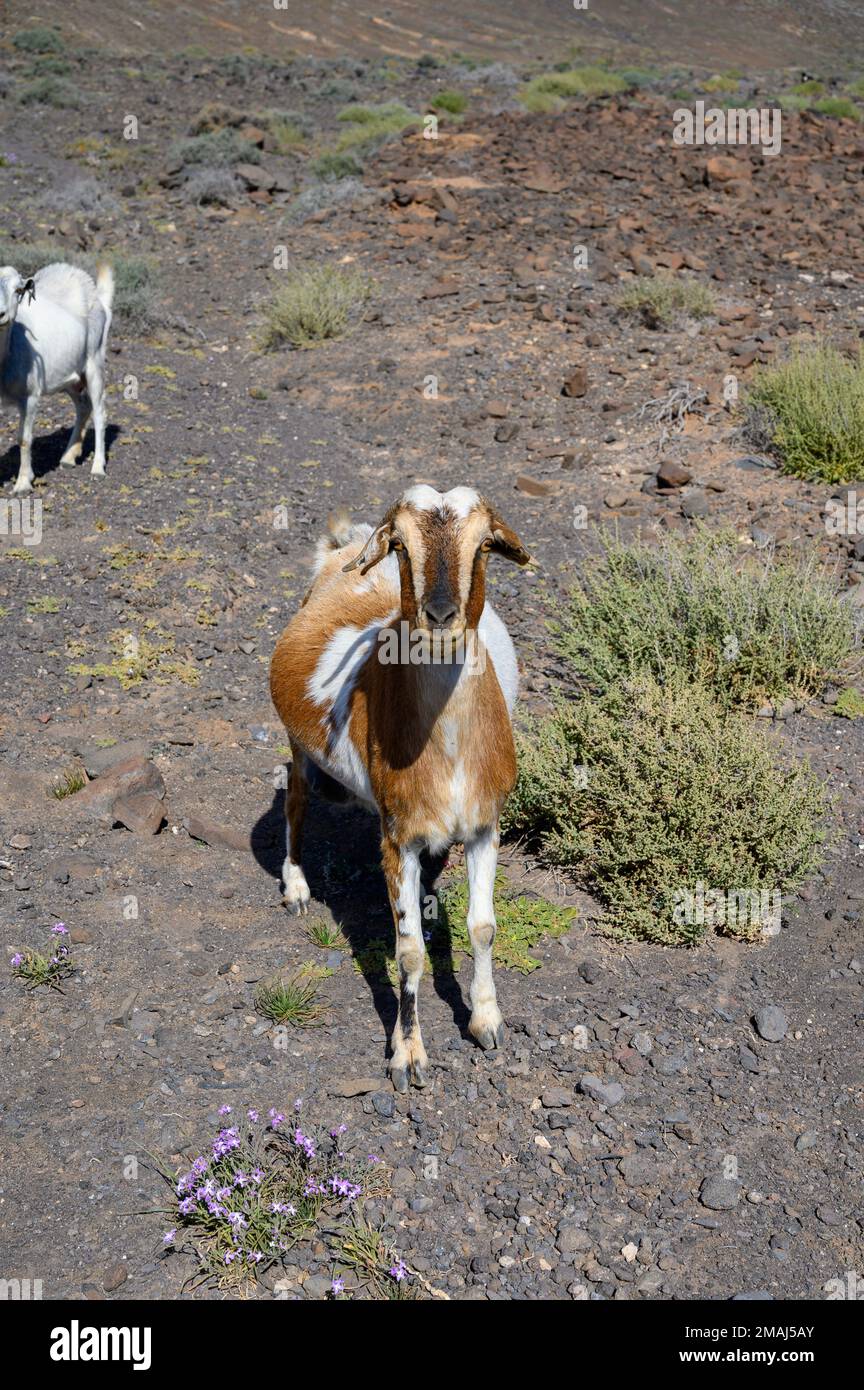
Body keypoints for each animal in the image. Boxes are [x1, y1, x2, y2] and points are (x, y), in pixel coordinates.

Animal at [0, 260, 114, 495]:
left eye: (18, 290)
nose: (1, 315)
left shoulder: (30, 396)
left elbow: (24, 439)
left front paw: (23, 484)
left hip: (94, 361)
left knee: (100, 411)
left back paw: (98, 468)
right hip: (69, 377)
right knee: (83, 405)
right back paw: (69, 457)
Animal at [270, 485, 530, 1090]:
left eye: (484, 544)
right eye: (402, 545)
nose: (440, 616)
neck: (450, 752)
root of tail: (341, 550)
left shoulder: (484, 828)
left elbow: (483, 927)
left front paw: (486, 1022)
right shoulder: (398, 839)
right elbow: (409, 951)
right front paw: (407, 1056)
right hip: (297, 745)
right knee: (295, 799)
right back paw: (296, 886)